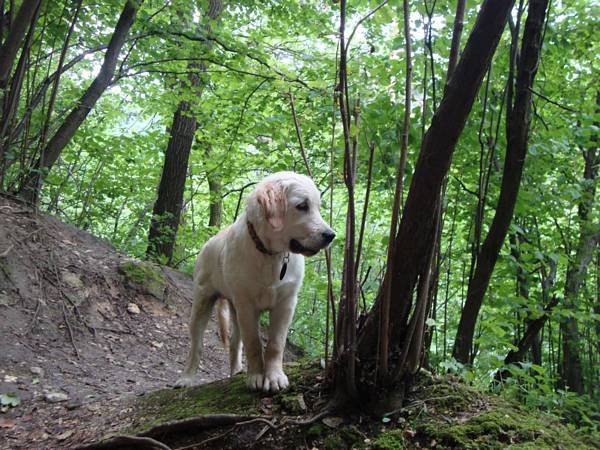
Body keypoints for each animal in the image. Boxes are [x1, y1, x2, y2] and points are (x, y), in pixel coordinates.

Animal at [175, 172, 335, 392]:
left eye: (318, 207)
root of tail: (209, 241)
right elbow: (254, 343)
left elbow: (276, 344)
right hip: (202, 303)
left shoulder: (286, 303)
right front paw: (256, 376)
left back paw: (236, 372)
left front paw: (274, 376)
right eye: (302, 206)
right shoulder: (247, 305)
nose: (330, 235)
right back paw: (187, 378)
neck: (271, 255)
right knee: (196, 345)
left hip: (233, 309)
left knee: (235, 343)